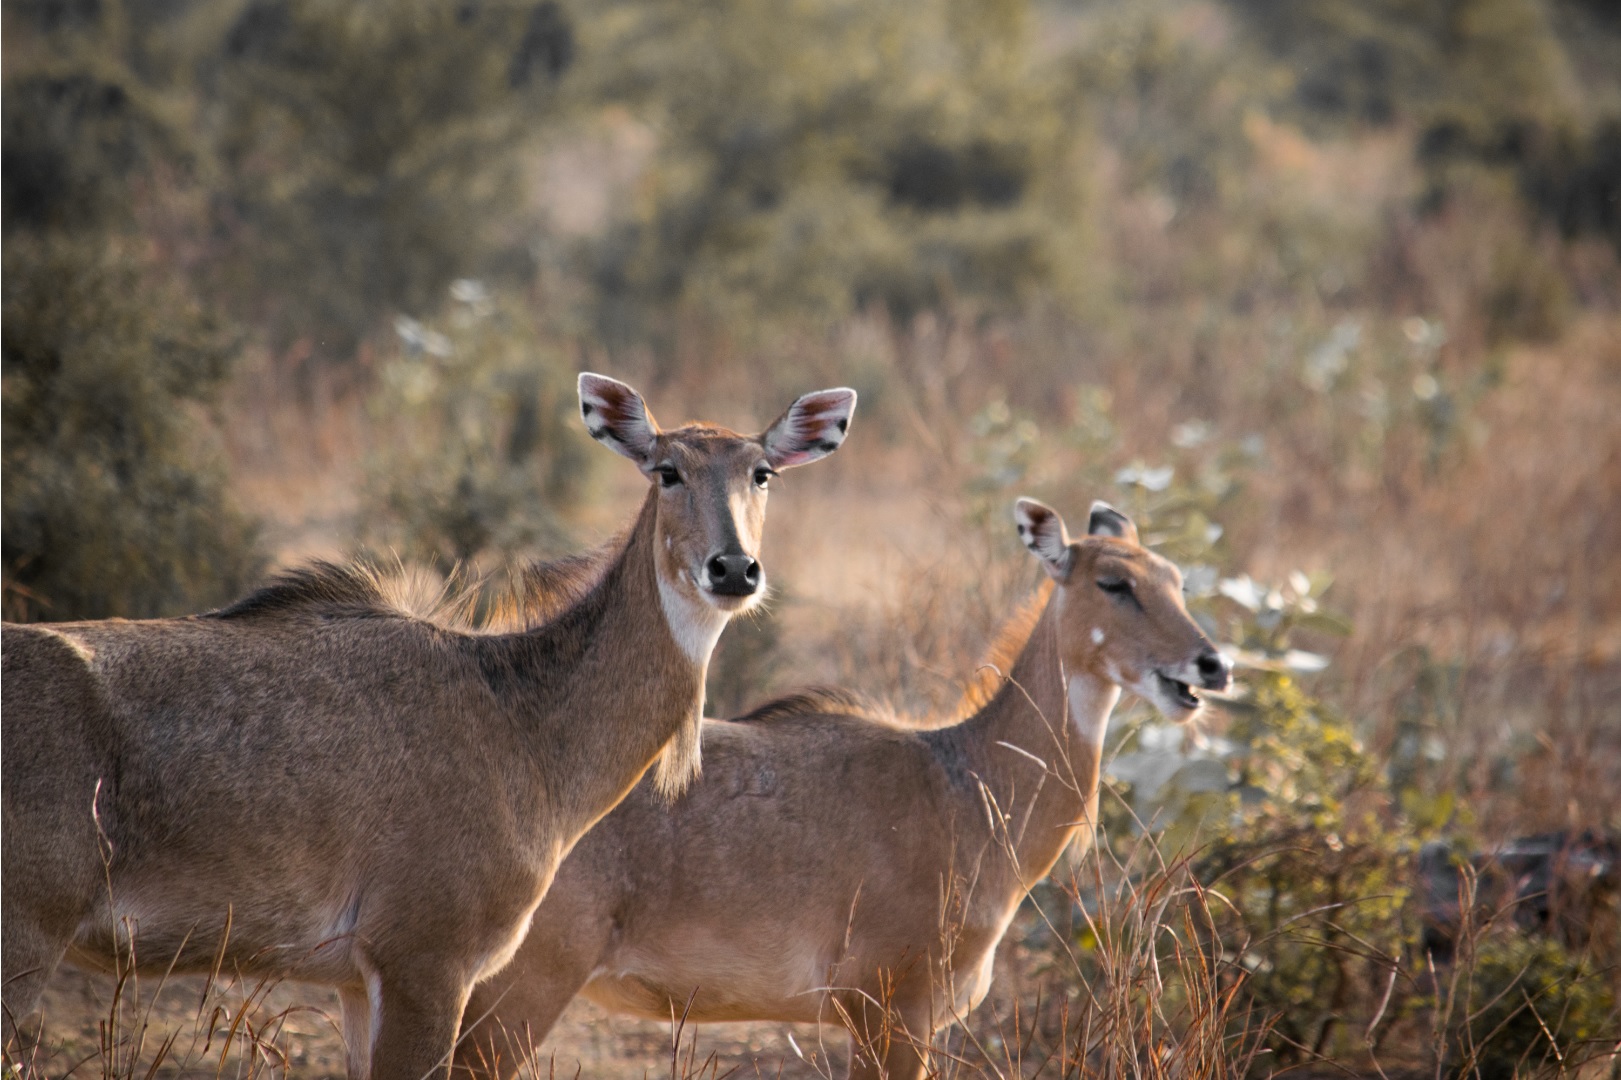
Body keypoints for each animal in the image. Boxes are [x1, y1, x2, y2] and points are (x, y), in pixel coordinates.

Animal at [3, 374, 862, 1070]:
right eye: (667, 468)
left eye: (761, 472)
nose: (733, 569)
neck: (525, 724)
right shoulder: (426, 958)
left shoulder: (357, 980)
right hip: (25, 935)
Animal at [457, 496, 1225, 1076]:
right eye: (1113, 583)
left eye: (1177, 580)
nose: (1210, 664)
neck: (968, 787)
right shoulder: (890, 1007)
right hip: (517, 988)